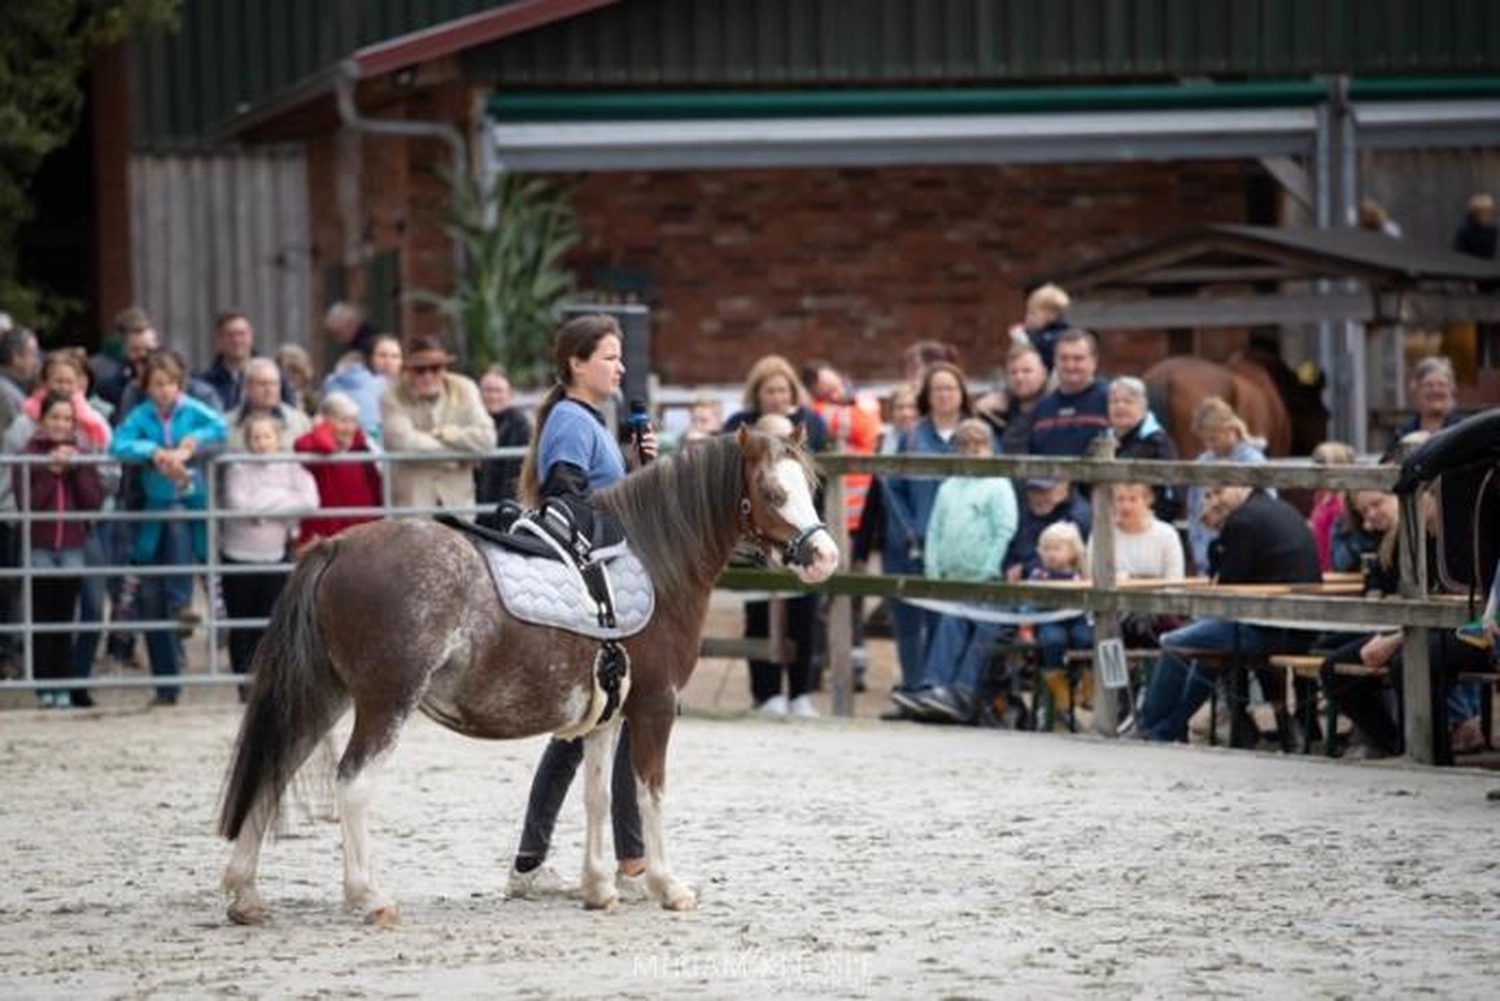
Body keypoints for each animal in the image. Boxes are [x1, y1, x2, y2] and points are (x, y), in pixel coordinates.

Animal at [217, 428, 839, 926]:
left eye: (809, 487)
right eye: (773, 493)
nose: (825, 557)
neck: (653, 558)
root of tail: (338, 544)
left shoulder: (607, 715)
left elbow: (594, 795)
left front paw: (598, 888)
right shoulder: (655, 706)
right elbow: (649, 791)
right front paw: (667, 886)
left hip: (324, 694)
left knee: (273, 769)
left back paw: (245, 895)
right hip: (385, 702)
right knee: (352, 784)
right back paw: (368, 896)